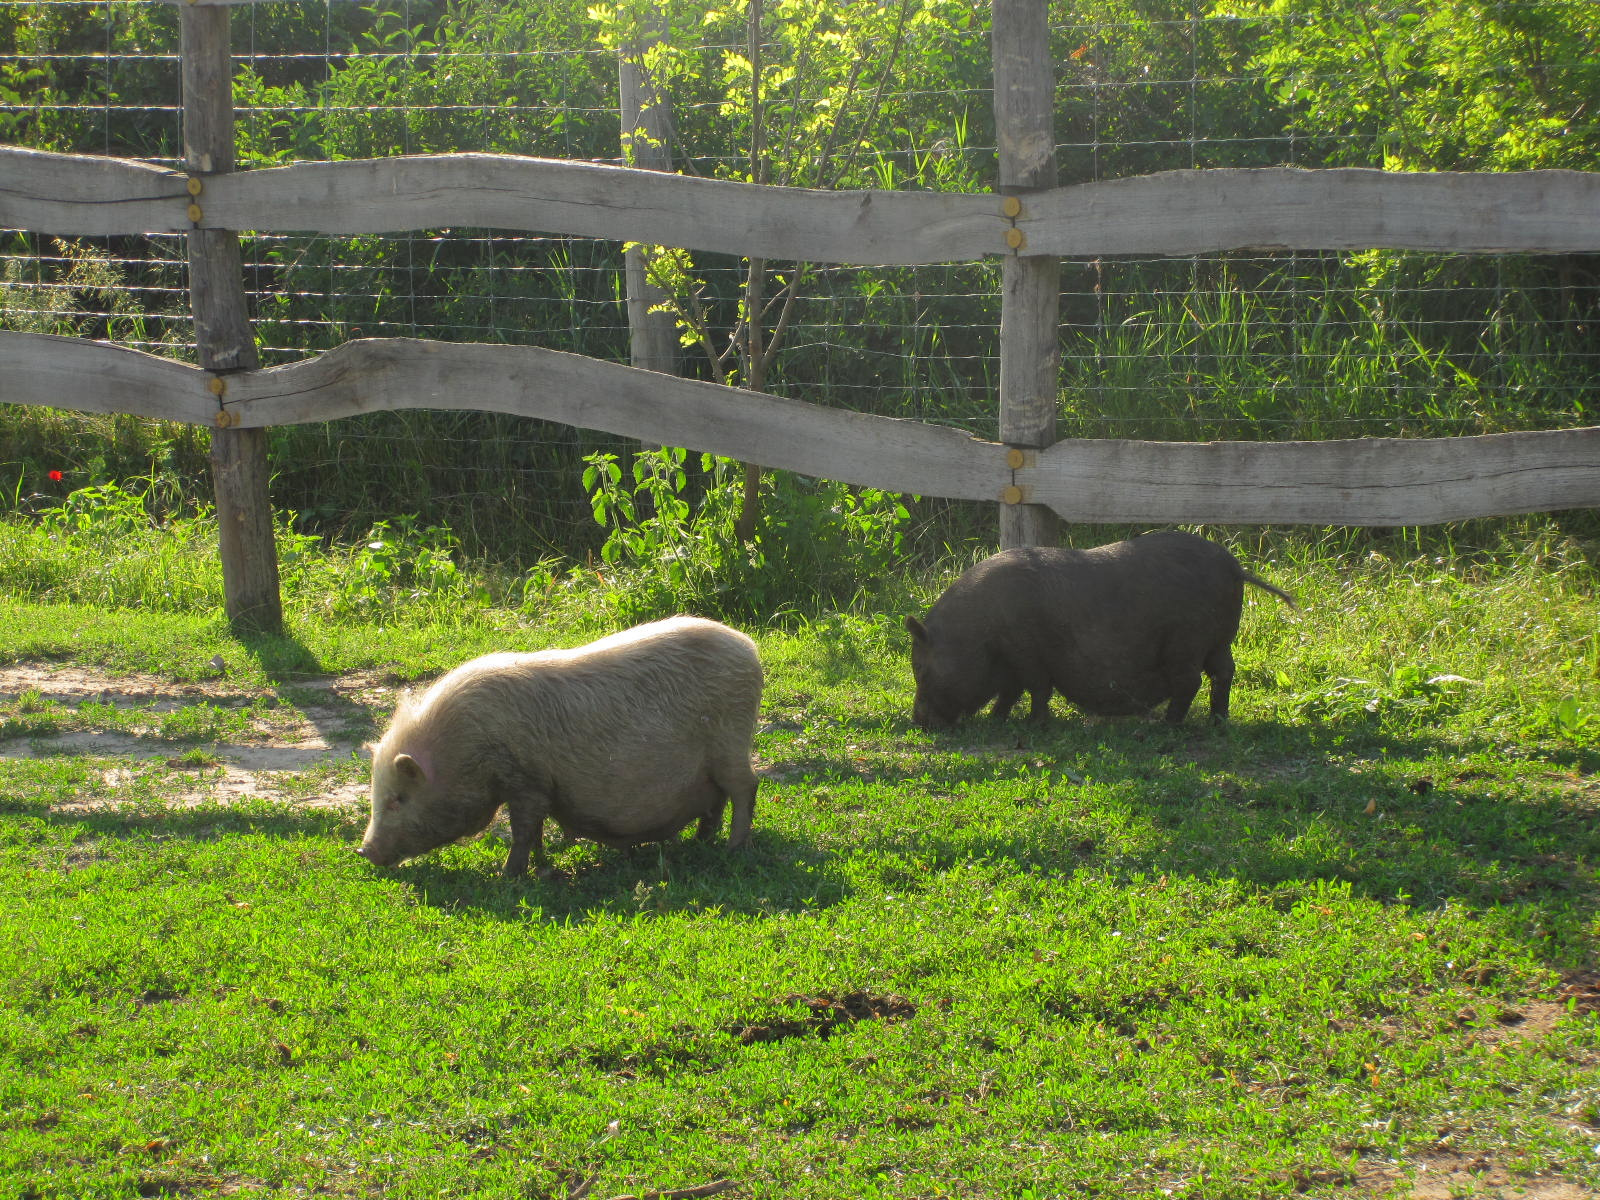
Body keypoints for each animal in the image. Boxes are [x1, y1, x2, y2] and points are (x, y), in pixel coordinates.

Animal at [908, 537, 1292, 732]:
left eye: (920, 668)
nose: (918, 721)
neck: (979, 634)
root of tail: (1235, 567)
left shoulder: (1027, 653)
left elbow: (1036, 689)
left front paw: (1032, 724)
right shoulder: (1013, 662)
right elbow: (1009, 692)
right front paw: (996, 720)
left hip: (1186, 643)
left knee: (1190, 682)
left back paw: (1166, 726)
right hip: (1219, 641)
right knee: (1224, 673)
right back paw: (1217, 721)